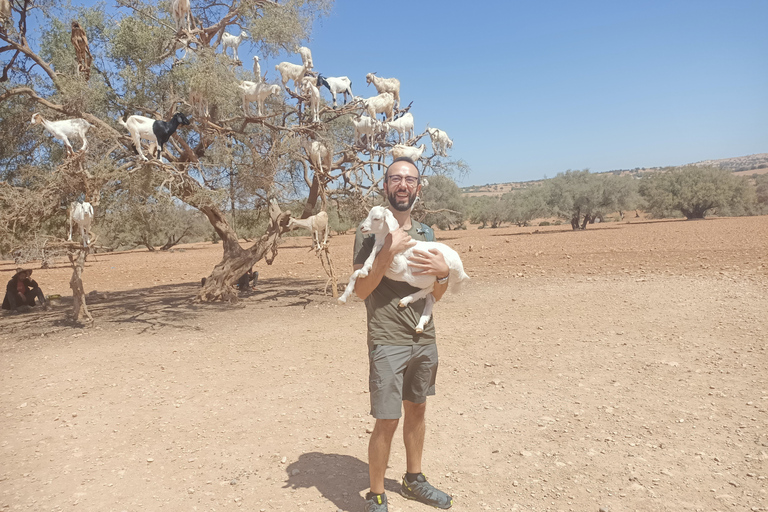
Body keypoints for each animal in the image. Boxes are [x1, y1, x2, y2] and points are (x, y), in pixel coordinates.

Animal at [340, 206, 472, 334]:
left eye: (376, 218)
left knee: (430, 288)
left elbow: (372, 258)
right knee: (430, 296)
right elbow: (356, 273)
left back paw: (406, 300)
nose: (362, 227)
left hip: (426, 276)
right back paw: (419, 324)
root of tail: (460, 266)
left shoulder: (398, 264)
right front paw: (343, 297)